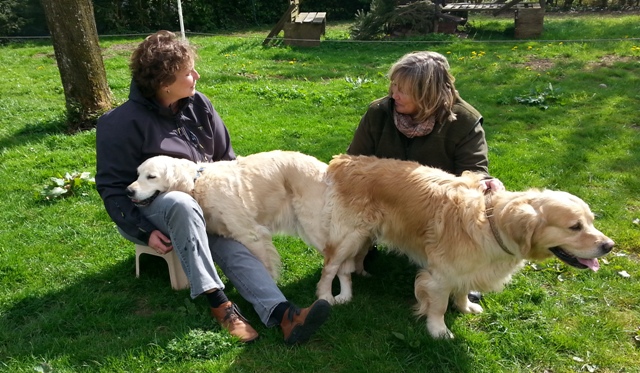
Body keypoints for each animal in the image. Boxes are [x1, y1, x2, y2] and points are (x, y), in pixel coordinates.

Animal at [126, 150, 364, 302]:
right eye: (137, 174)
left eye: (151, 176)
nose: (128, 191)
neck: (196, 183)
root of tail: (328, 169)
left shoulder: (252, 235)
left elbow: (265, 270)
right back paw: (344, 296)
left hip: (315, 227)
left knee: (338, 263)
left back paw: (330, 296)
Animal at [320, 153, 616, 338]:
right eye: (575, 226)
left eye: (591, 221)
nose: (609, 246)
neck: (492, 223)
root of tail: (345, 160)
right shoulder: (439, 276)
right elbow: (438, 306)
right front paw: (438, 331)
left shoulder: (467, 269)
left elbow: (462, 289)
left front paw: (464, 307)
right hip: (348, 236)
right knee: (329, 268)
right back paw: (327, 298)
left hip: (363, 236)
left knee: (348, 265)